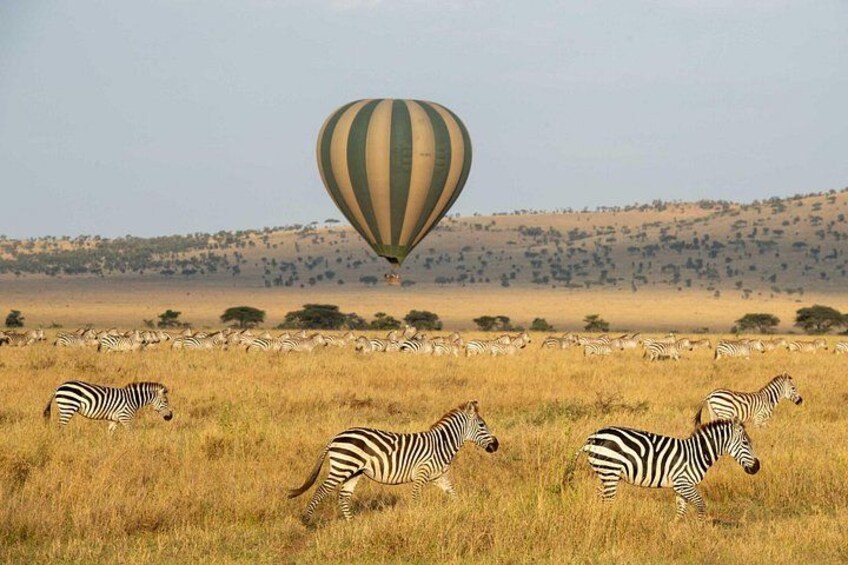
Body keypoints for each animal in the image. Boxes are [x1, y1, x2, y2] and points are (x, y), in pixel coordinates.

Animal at [43, 380, 173, 432]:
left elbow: (109, 435)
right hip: (68, 407)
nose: (170, 417)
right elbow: (131, 434)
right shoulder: (125, 418)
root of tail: (59, 386)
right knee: (60, 427)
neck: (133, 400)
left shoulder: (114, 420)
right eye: (165, 401)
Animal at [288, 400, 499, 522]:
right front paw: (417, 519)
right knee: (321, 490)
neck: (441, 445)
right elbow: (416, 498)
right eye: (482, 425)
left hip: (354, 471)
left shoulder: (439, 477)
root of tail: (335, 438)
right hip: (342, 467)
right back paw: (306, 521)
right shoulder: (422, 473)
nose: (496, 445)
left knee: (344, 496)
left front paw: (461, 511)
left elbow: (454, 494)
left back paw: (351, 523)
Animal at [566, 419, 759, 519]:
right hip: (610, 470)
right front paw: (700, 530)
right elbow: (701, 504)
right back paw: (607, 521)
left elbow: (681, 510)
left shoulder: (681, 486)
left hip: (605, 473)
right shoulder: (684, 483)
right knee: (608, 500)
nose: (757, 467)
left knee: (600, 496)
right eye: (746, 443)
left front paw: (676, 532)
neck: (697, 453)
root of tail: (592, 437)